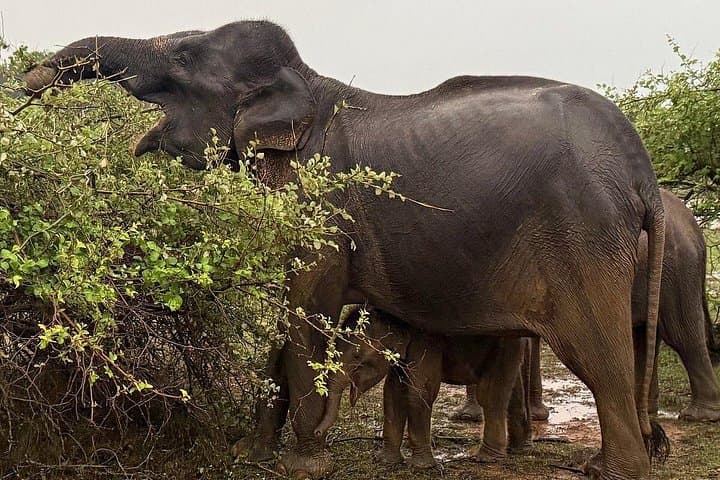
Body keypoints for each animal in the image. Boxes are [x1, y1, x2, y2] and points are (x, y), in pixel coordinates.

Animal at [313, 307, 532, 468]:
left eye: (357, 356)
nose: (317, 433)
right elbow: (393, 393)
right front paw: (384, 461)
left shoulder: (426, 342)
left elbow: (421, 389)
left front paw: (419, 466)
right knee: (513, 391)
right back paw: (519, 449)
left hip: (506, 344)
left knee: (490, 394)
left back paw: (486, 457)